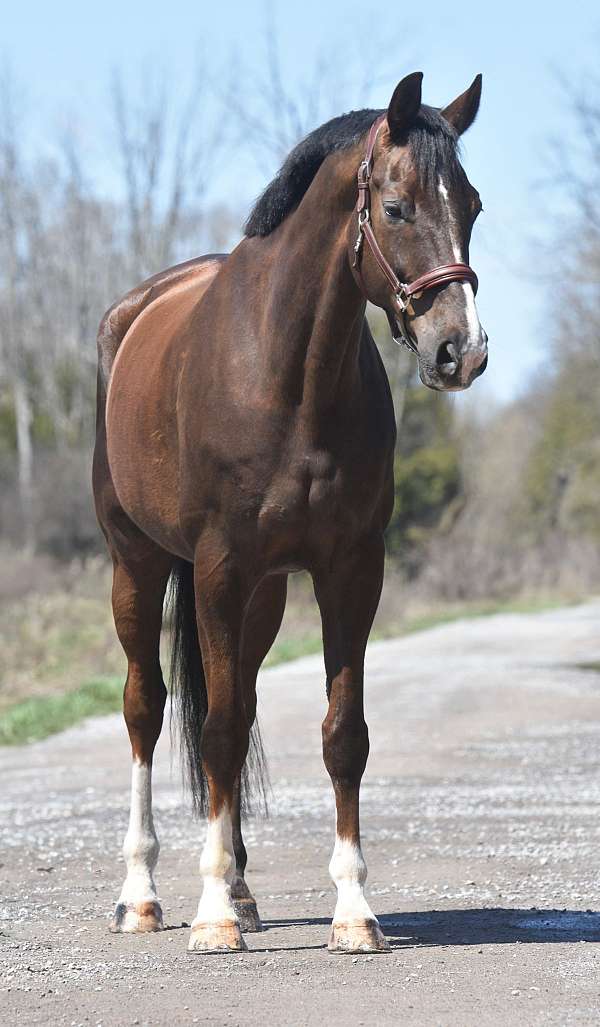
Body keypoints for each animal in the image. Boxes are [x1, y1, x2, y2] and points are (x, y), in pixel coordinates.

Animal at [92, 71, 487, 954]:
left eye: (474, 204)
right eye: (397, 207)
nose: (462, 350)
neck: (288, 372)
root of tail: (129, 313)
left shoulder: (350, 566)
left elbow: (341, 733)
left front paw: (354, 911)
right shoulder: (218, 565)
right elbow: (214, 729)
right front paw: (210, 917)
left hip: (262, 596)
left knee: (236, 704)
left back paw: (241, 891)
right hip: (137, 563)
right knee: (146, 706)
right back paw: (143, 895)